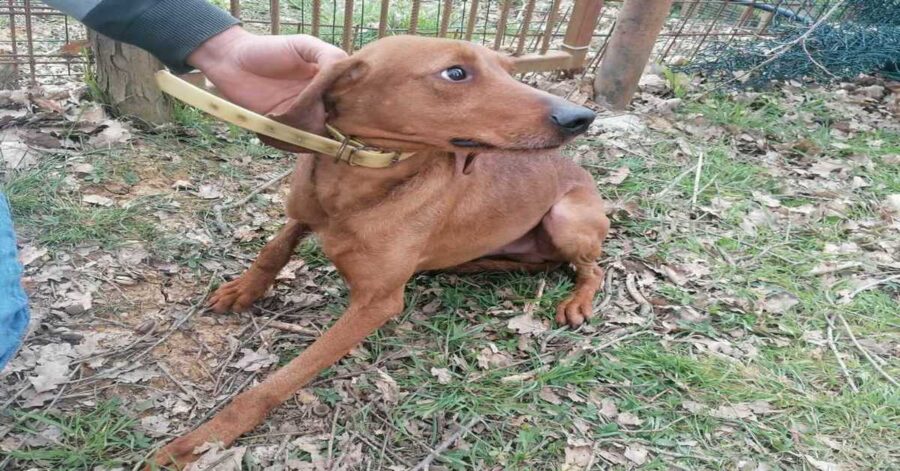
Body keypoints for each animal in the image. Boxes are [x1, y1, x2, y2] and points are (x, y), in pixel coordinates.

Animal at [155, 36, 608, 468]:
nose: (581, 117)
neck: (358, 176)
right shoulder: (303, 215)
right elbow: (274, 247)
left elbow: (280, 380)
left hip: (566, 219)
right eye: (456, 72)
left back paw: (576, 302)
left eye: (510, 70)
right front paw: (244, 289)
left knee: (593, 269)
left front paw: (204, 439)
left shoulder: (376, 303)